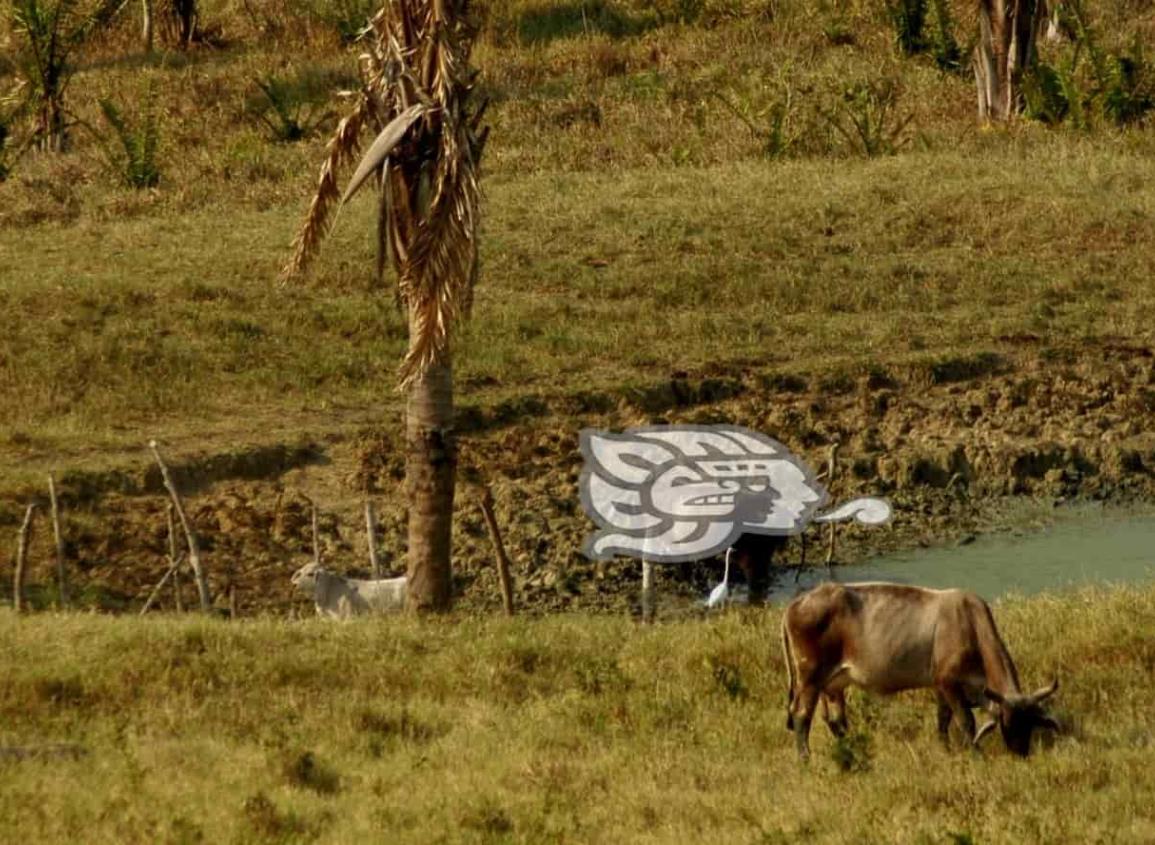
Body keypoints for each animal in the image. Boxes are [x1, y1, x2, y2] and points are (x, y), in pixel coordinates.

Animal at [780, 584, 1057, 761]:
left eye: (1030, 723)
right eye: (1008, 723)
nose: (1021, 754)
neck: (970, 625)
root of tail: (795, 604)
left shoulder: (940, 686)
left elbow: (942, 719)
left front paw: (945, 749)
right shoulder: (948, 682)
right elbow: (966, 721)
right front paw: (976, 755)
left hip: (833, 684)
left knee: (835, 720)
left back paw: (849, 748)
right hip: (808, 678)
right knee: (801, 715)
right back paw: (805, 759)